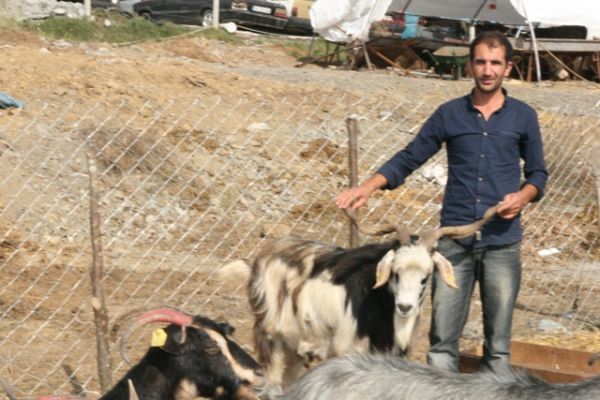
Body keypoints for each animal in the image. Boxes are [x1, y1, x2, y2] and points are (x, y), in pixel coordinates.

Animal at [220, 205, 500, 389]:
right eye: (395, 272)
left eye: (426, 276)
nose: (405, 307)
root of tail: (261, 259)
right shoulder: (346, 352)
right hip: (270, 339)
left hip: (294, 345)